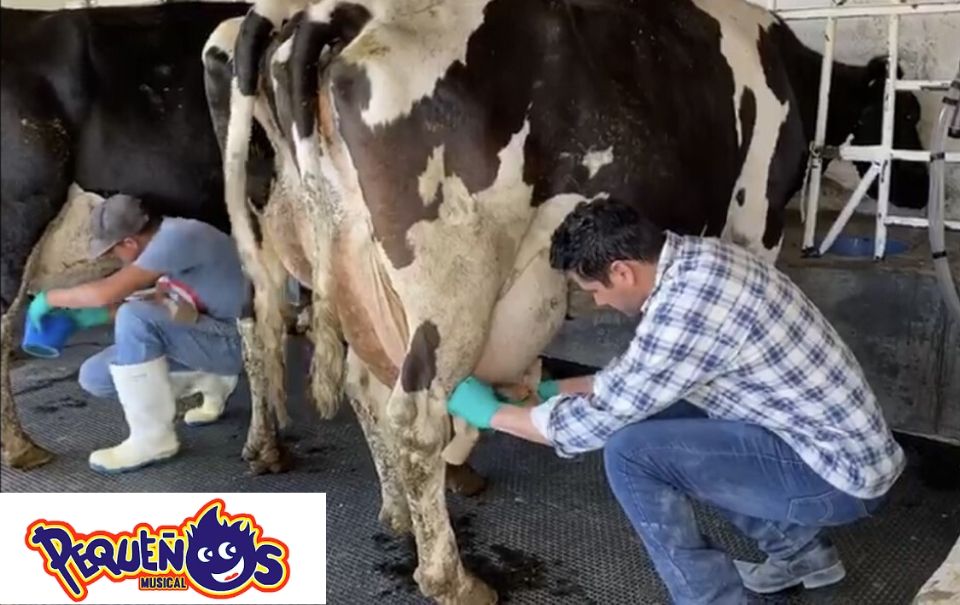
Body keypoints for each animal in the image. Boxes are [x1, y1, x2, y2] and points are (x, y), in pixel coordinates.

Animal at [204, 0, 928, 600]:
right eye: (907, 116)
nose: (919, 192)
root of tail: (331, 14)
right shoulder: (757, 222)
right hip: (450, 276)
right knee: (414, 414)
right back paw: (452, 577)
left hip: (343, 267)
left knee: (357, 379)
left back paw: (395, 511)